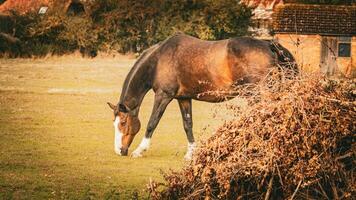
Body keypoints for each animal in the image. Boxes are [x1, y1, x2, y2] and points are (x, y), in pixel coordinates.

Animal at [107, 34, 296, 159]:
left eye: (122, 122)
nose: (119, 151)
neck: (159, 60)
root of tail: (269, 44)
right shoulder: (183, 98)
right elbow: (187, 125)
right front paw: (191, 153)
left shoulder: (163, 96)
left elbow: (152, 123)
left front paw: (140, 150)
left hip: (257, 94)